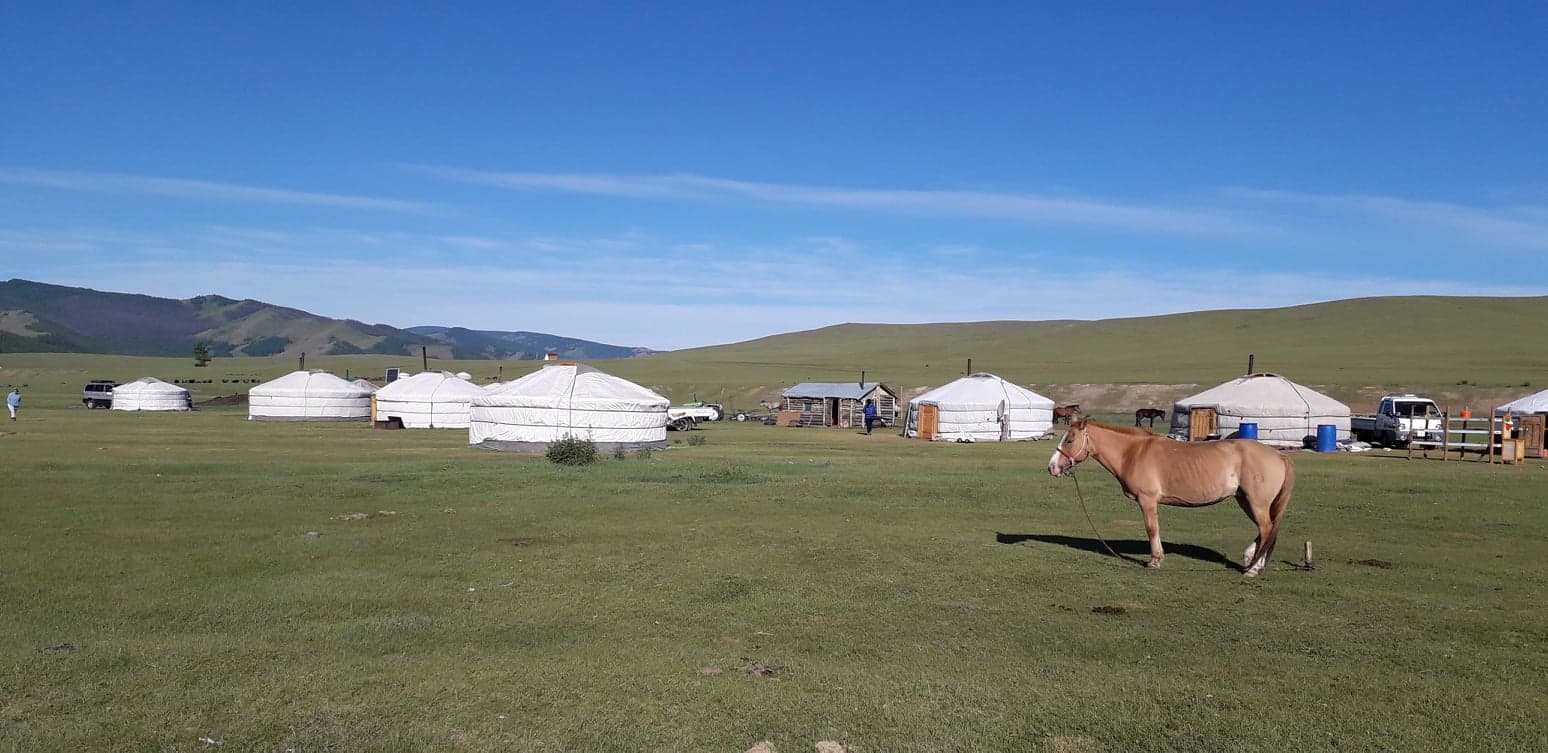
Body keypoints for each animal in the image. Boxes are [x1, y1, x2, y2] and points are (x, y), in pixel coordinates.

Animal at [1047, 418, 1295, 577]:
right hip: (1245, 500)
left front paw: (1155, 561)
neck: (1132, 453)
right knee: (1267, 529)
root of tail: (1279, 455)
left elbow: (1151, 529)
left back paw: (1253, 568)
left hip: (1256, 503)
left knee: (1266, 529)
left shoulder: (1147, 500)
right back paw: (1251, 560)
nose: (1052, 467)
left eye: (1070, 440)